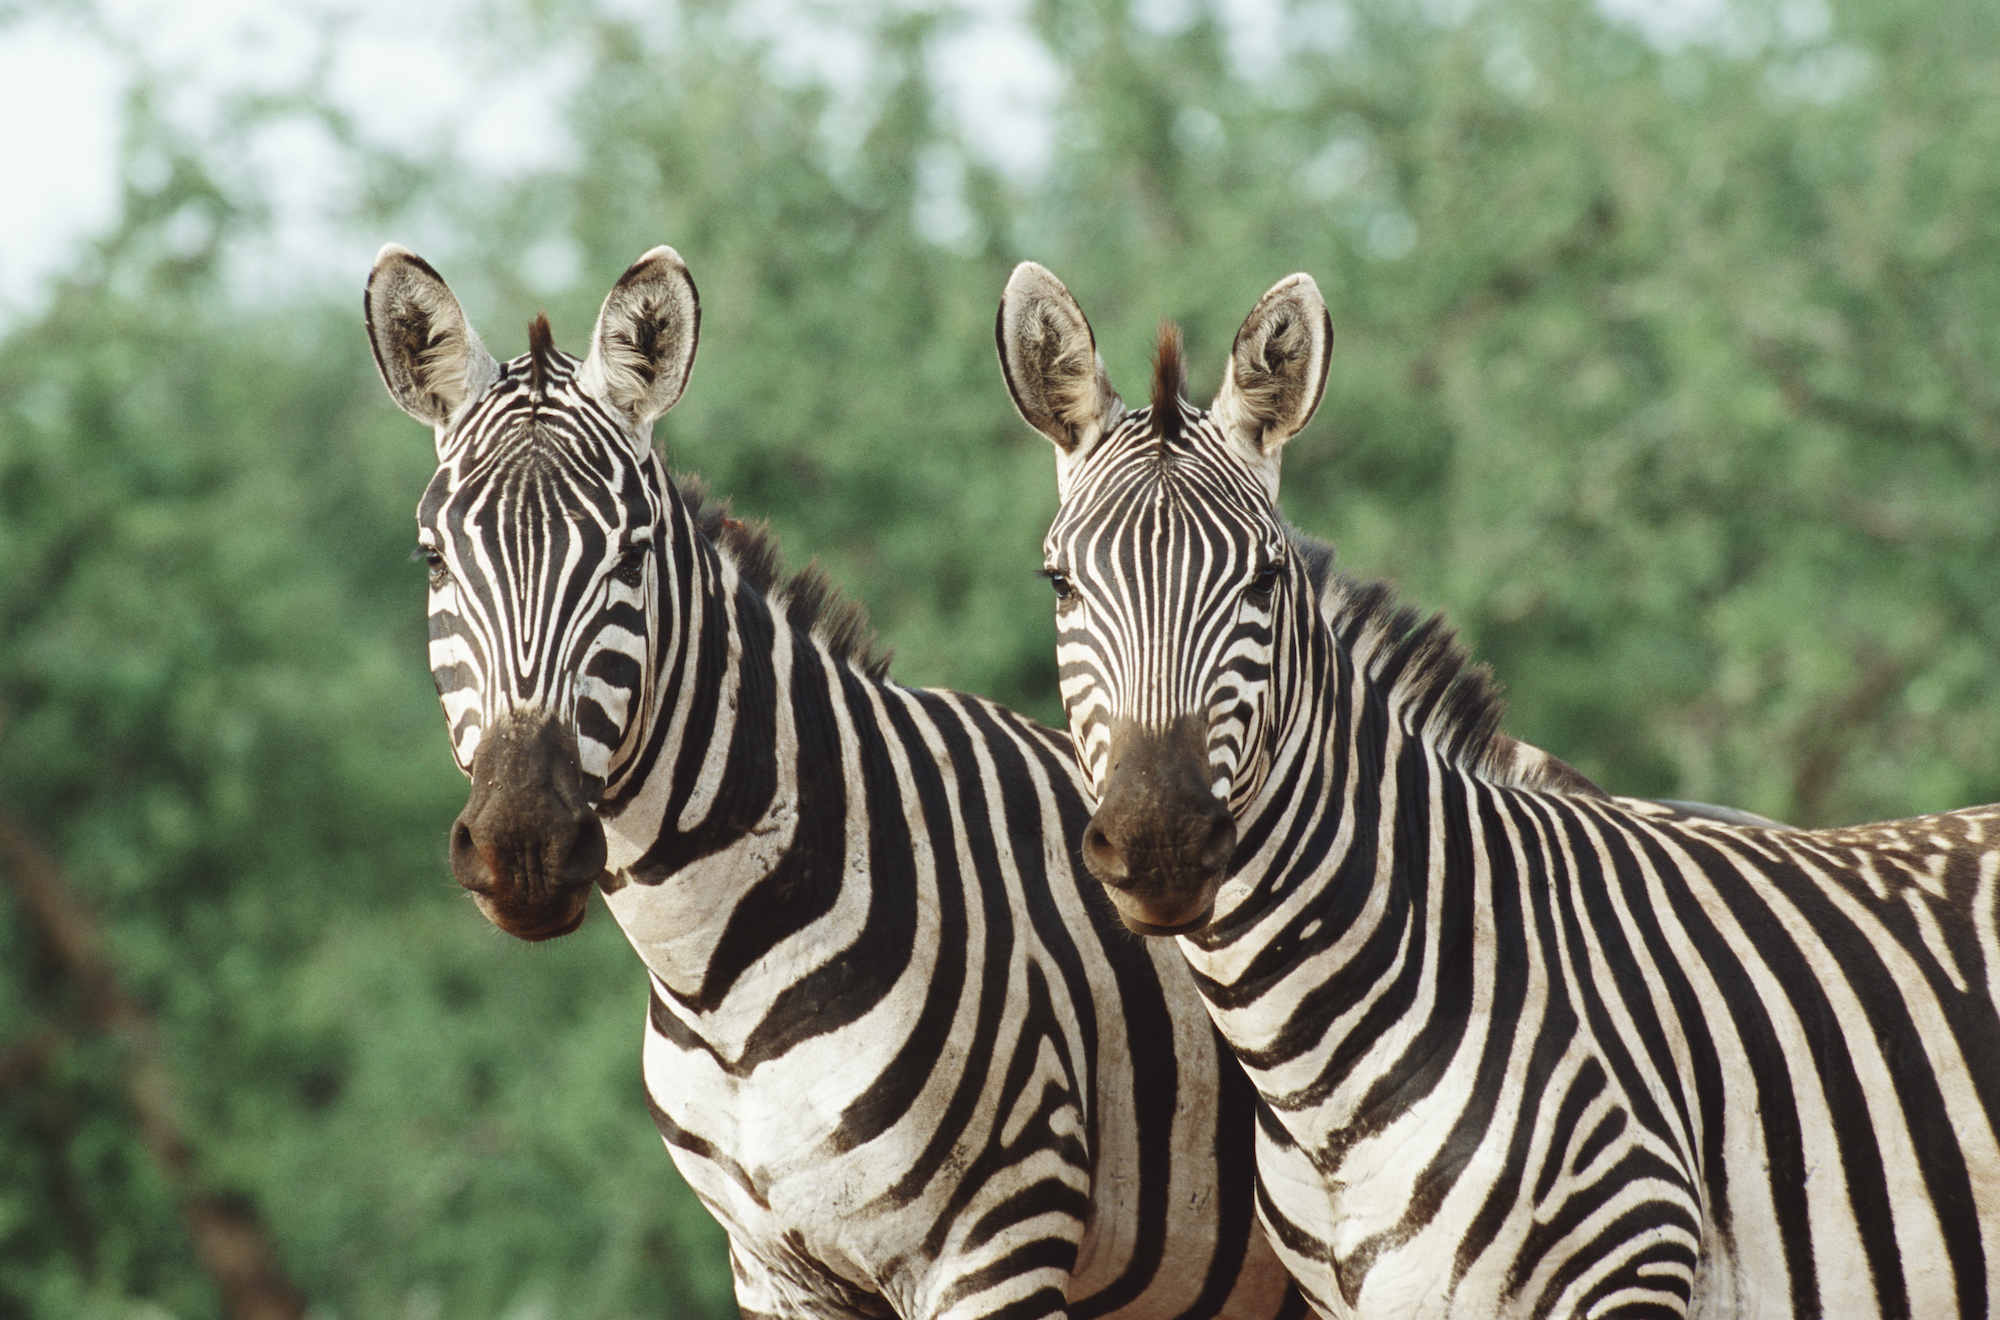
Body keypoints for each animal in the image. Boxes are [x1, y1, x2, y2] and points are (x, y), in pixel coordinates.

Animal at [364, 245, 1312, 1320]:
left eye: (631, 558)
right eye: (433, 560)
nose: (524, 845)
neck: (716, 982)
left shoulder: (1000, 1242)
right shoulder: (772, 1268)